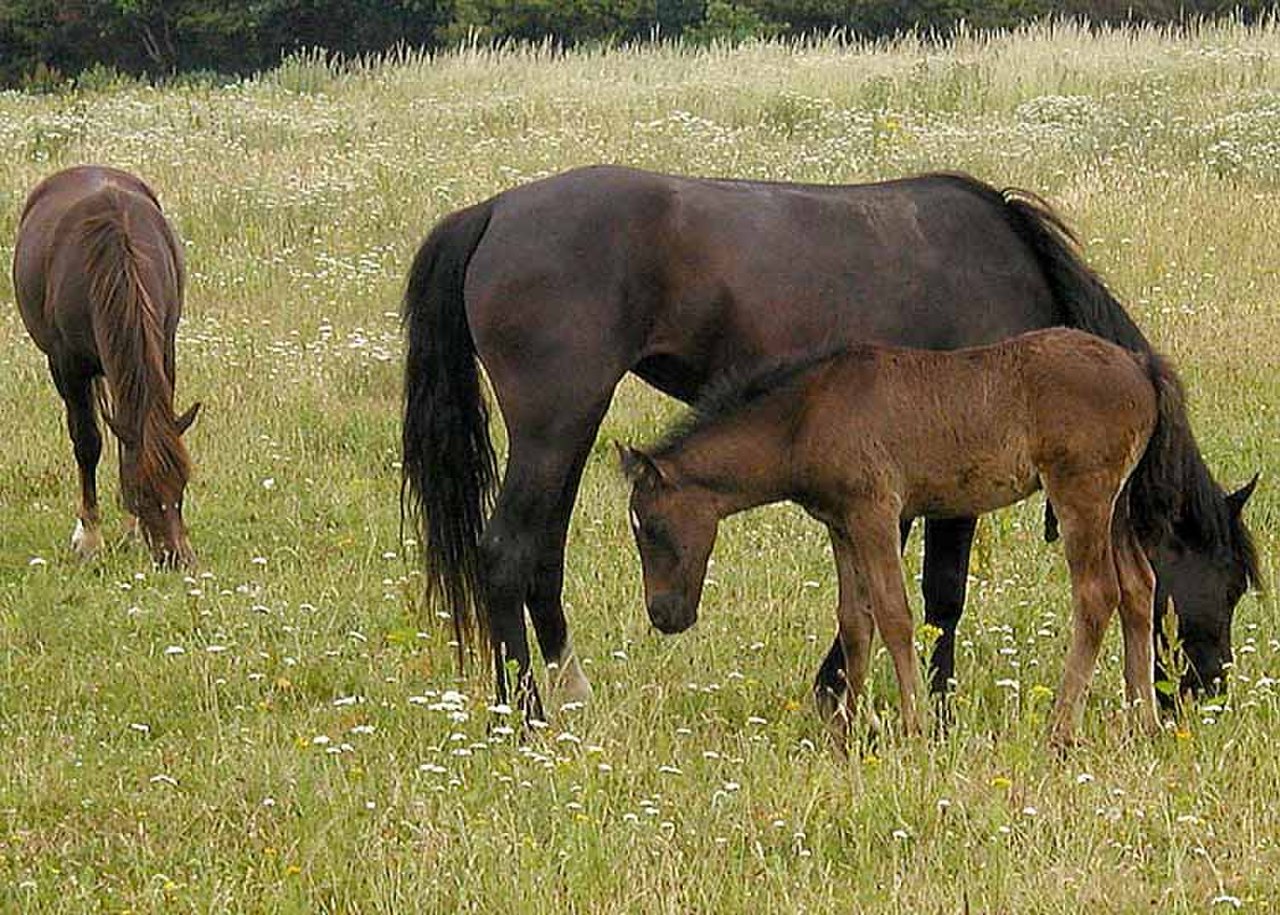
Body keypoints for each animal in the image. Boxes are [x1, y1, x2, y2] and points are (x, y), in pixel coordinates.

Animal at [13, 165, 202, 565]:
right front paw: (90, 538)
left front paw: (130, 533)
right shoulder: (67, 365)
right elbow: (87, 441)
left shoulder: (164, 348)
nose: (175, 557)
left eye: (182, 483)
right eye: (141, 492)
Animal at [619, 332, 1249, 747]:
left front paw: (914, 724)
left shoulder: (876, 514)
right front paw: (849, 727)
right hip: (1116, 505)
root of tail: (1140, 364)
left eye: (650, 528)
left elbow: (894, 615)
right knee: (1140, 588)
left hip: (1082, 495)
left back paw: (1061, 728)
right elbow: (854, 621)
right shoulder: (841, 525)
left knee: (1097, 595)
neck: (804, 416)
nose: (665, 615)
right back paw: (1143, 720)